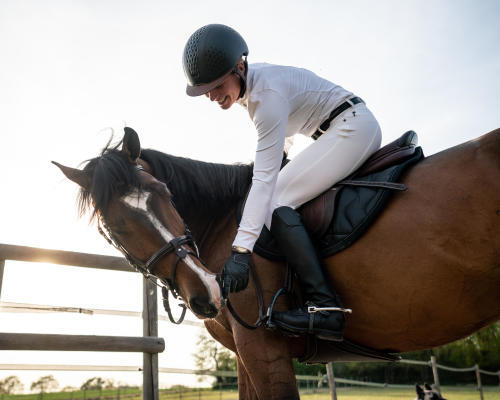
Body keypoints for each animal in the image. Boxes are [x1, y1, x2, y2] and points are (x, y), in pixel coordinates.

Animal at [53, 127, 500, 396]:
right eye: (116, 227)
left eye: (163, 191)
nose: (208, 289)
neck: (228, 221)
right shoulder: (244, 353)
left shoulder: (262, 347)